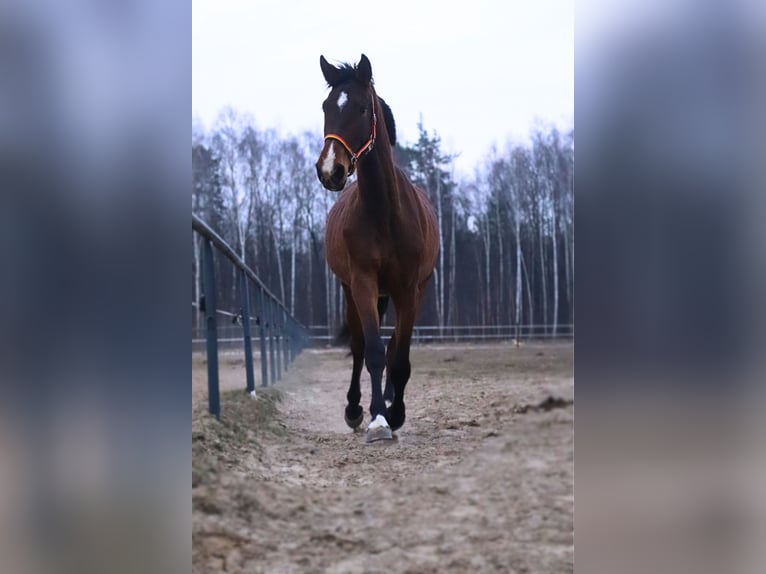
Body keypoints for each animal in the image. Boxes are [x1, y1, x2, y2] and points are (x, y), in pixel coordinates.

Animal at [316, 54, 438, 444]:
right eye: (326, 107)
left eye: (361, 107)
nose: (330, 170)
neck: (385, 213)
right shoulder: (363, 282)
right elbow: (371, 351)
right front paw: (377, 419)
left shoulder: (409, 288)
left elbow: (399, 357)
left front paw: (394, 413)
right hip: (353, 291)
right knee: (358, 348)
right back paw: (357, 409)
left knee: (395, 345)